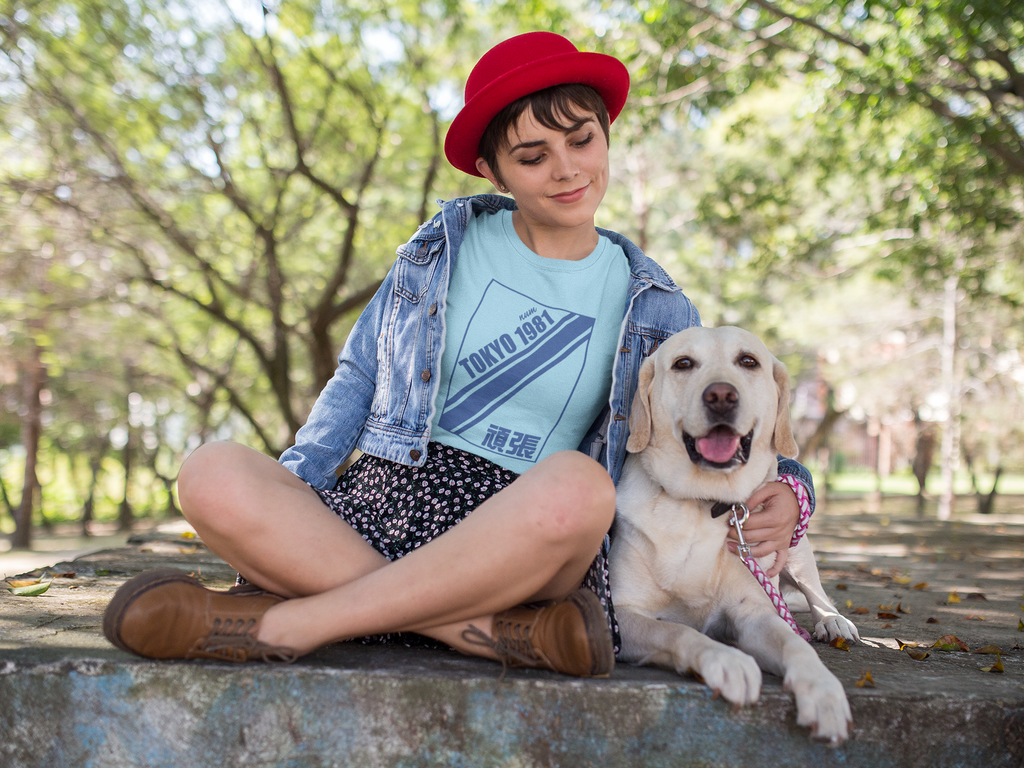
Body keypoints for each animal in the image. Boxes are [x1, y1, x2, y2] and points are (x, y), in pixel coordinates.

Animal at [610, 325, 851, 745]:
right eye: (683, 363)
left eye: (748, 361)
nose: (721, 395)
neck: (704, 503)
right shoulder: (620, 614)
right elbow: (676, 630)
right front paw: (727, 659)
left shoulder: (753, 612)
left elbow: (795, 645)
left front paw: (823, 690)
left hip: (797, 550)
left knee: (815, 594)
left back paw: (833, 621)